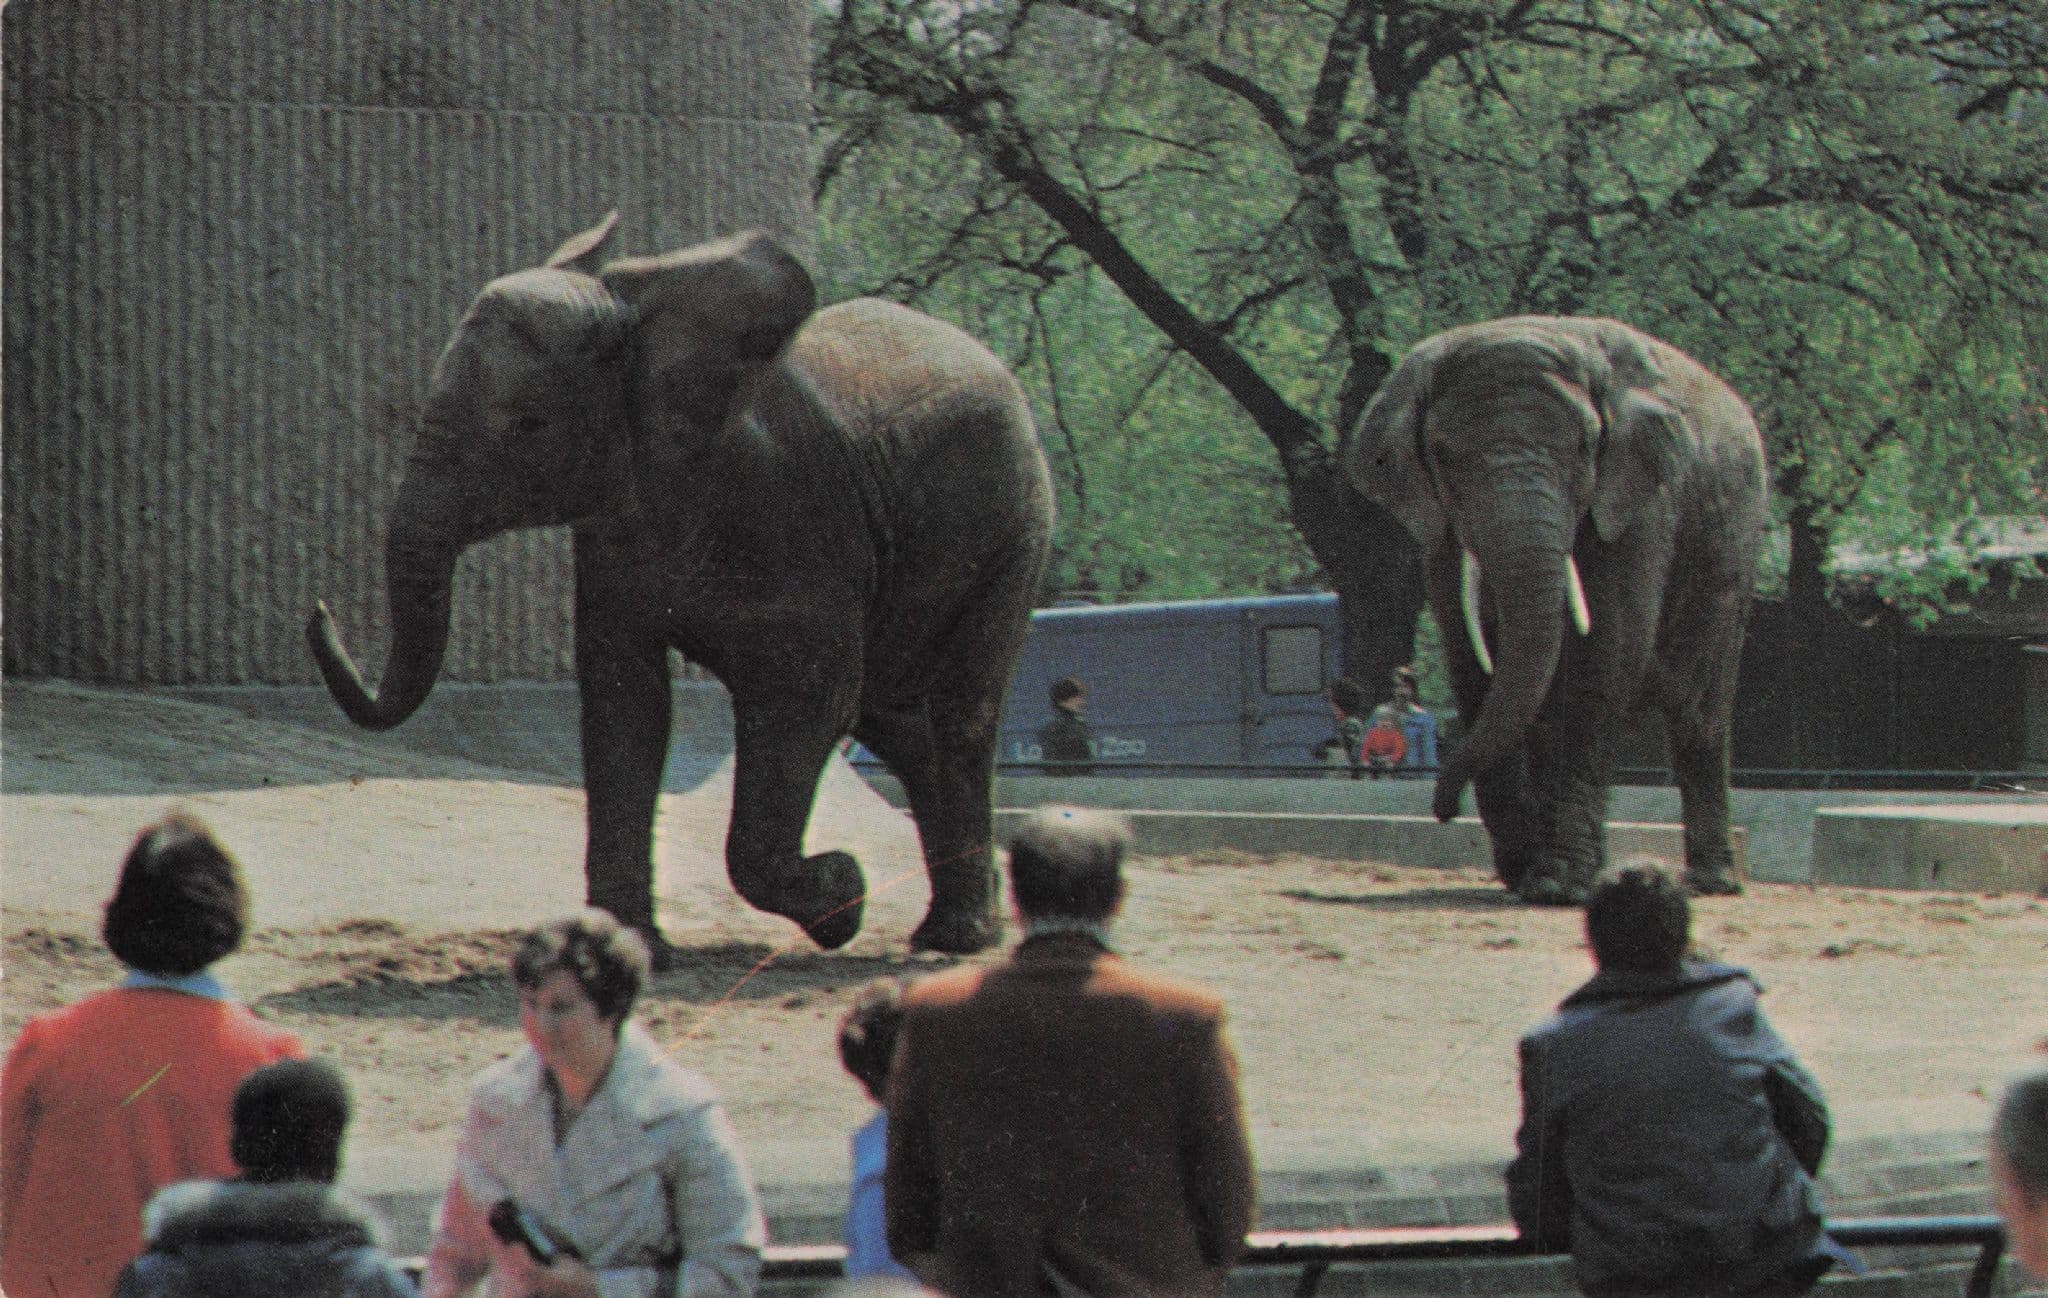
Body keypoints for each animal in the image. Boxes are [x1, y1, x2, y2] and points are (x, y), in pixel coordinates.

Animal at [308, 214, 1055, 957]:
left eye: (528, 424)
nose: (319, 608)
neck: (635, 325)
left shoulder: (795, 515)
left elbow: (810, 695)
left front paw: (844, 896)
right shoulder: (615, 532)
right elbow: (625, 703)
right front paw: (630, 950)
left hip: (1015, 528)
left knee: (959, 712)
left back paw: (956, 939)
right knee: (898, 721)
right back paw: (956, 928)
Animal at [1342, 316, 1767, 904]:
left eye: (1585, 447)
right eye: (1442, 454)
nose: (1443, 811)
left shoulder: (1638, 505)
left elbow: (1604, 654)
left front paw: (1558, 886)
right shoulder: (1440, 530)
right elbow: (1470, 658)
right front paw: (1526, 872)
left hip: (1733, 549)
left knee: (1700, 711)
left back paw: (1711, 883)